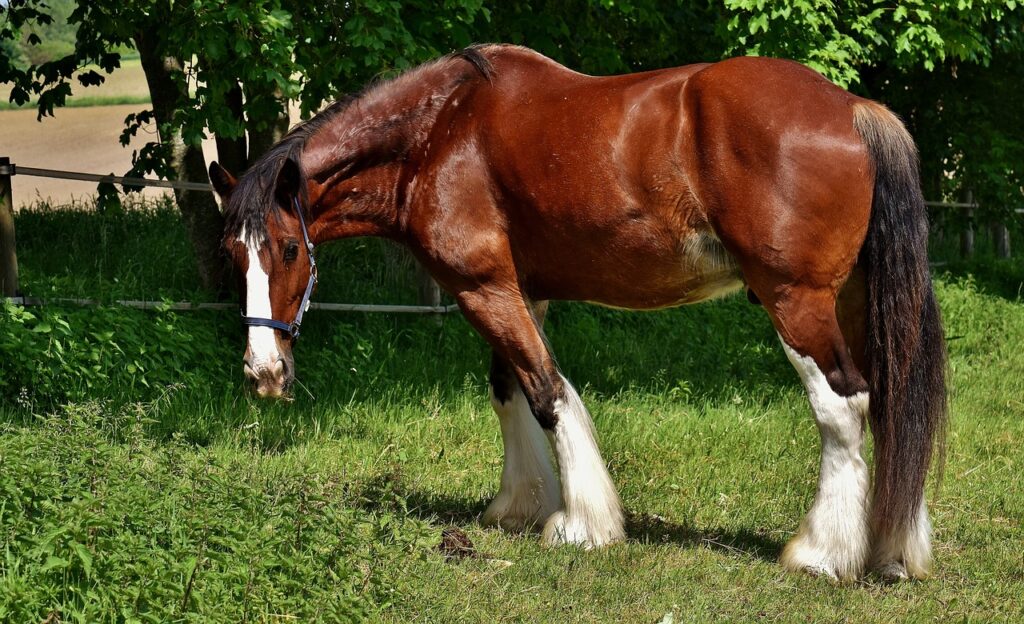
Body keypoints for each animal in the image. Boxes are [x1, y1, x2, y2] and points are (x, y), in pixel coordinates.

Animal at [207, 45, 942, 581]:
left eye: (288, 249)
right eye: (233, 254)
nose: (263, 373)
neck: (439, 133)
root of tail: (852, 109)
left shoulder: (484, 288)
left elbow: (546, 393)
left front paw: (582, 524)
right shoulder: (514, 290)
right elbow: (507, 390)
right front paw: (519, 505)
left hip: (796, 303)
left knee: (842, 408)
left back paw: (823, 554)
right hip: (852, 302)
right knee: (887, 404)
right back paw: (892, 549)